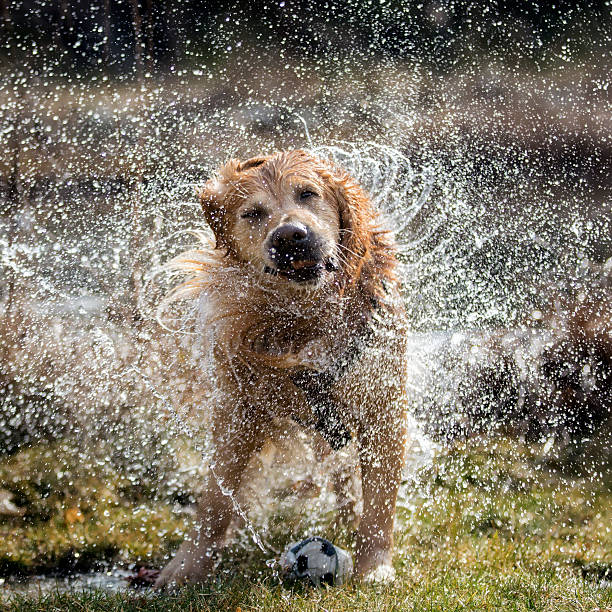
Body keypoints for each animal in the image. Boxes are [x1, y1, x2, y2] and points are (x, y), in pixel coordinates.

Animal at [155, 148, 408, 588]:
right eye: (253, 213)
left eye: (308, 193)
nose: (290, 234)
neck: (307, 318)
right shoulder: (238, 412)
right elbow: (215, 501)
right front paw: (188, 566)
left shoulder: (383, 407)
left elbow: (380, 505)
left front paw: (374, 567)